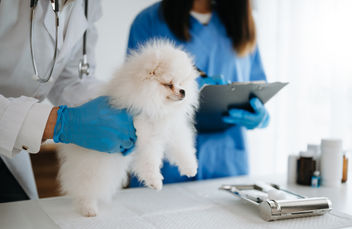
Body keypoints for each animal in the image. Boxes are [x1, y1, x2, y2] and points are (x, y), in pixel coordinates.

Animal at [58, 40, 201, 217]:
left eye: (182, 83)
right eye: (169, 84)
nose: (183, 91)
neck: (156, 106)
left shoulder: (171, 129)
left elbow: (183, 148)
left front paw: (190, 168)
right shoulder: (144, 135)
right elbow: (149, 160)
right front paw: (155, 181)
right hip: (94, 166)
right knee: (85, 186)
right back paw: (88, 208)